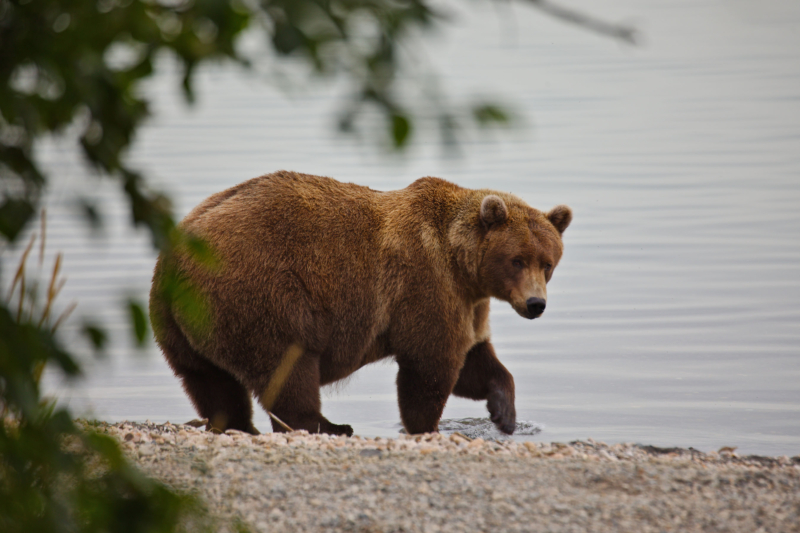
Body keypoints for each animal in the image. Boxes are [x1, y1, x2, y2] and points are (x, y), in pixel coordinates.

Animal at [149, 170, 571, 436]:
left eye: (547, 262)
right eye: (517, 260)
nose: (536, 303)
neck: (462, 264)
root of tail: (176, 253)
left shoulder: (468, 303)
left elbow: (475, 361)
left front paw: (504, 414)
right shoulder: (426, 285)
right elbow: (431, 365)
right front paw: (426, 425)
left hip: (181, 323)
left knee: (209, 380)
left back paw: (237, 424)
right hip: (262, 293)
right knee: (287, 365)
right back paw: (330, 425)